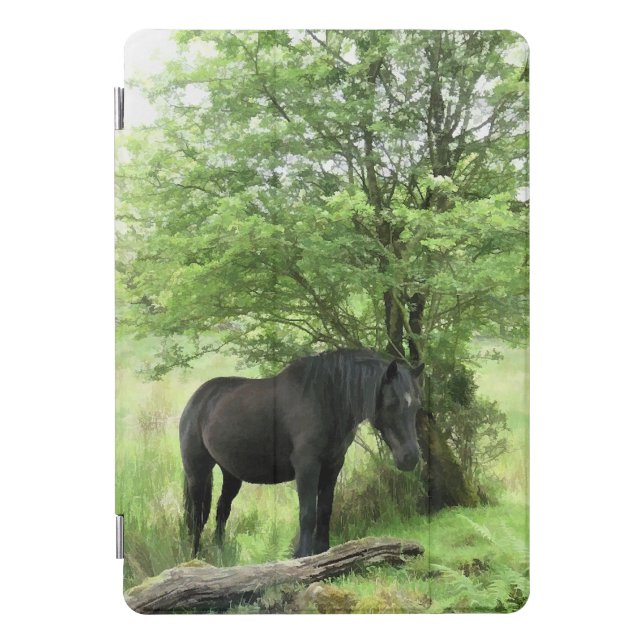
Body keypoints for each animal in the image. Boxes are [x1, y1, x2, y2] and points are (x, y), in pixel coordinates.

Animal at [180, 348, 425, 558]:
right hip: (197, 472)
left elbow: (324, 511)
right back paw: (195, 558)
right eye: (392, 403)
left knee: (222, 511)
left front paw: (323, 552)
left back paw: (222, 556)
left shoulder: (333, 465)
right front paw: (302, 555)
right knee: (197, 517)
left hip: (231, 474)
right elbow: (308, 513)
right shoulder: (307, 466)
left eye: (416, 405)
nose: (410, 457)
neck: (325, 399)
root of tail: (196, 399)